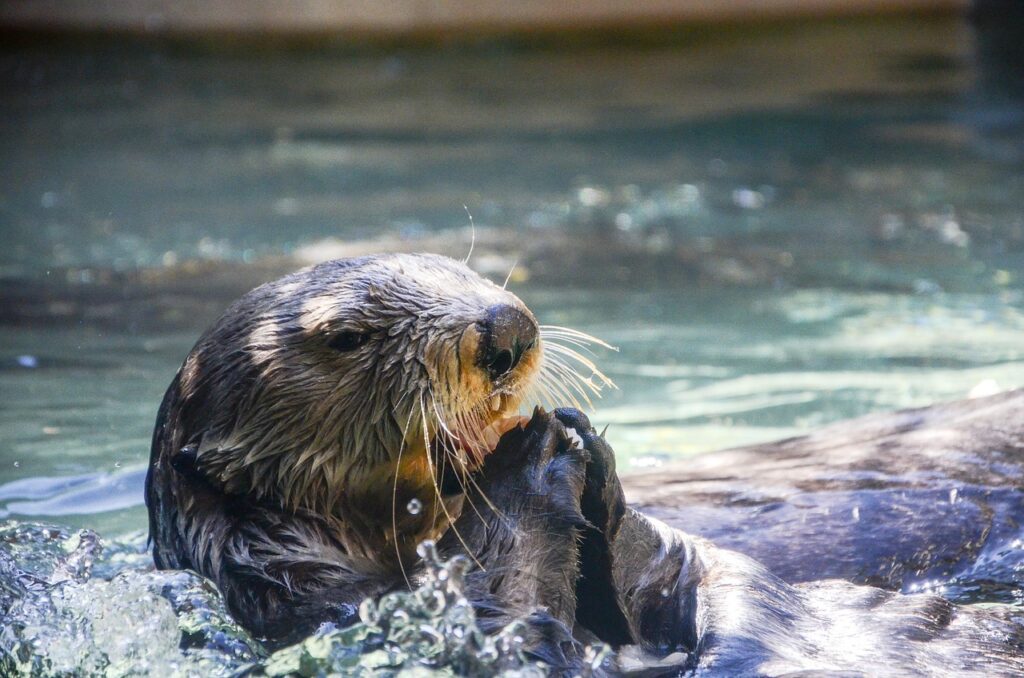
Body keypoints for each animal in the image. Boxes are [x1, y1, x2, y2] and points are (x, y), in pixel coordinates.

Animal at [146, 254, 1024, 674]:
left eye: (462, 269)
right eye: (346, 336)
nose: (506, 326)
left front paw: (585, 453)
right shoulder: (324, 609)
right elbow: (525, 637)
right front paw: (526, 463)